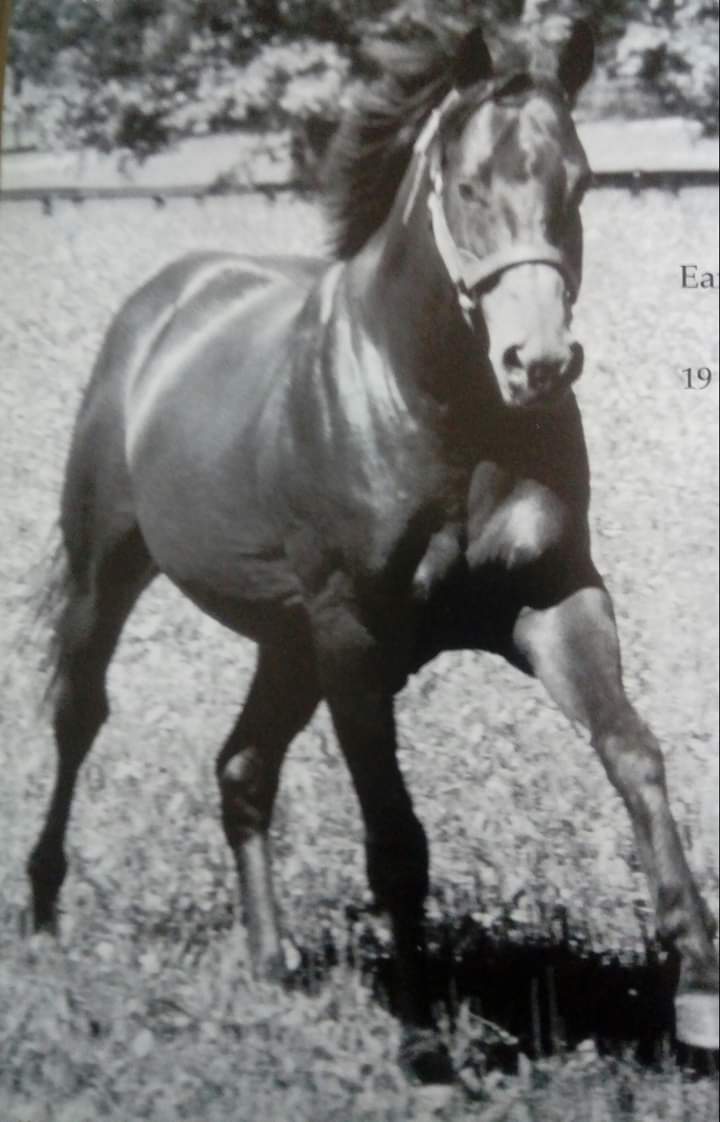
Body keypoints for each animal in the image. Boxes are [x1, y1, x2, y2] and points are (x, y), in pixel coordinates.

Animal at [28, 18, 718, 1081]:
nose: (538, 364)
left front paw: (698, 986)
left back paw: (272, 962)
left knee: (241, 768)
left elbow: (634, 756)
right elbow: (395, 838)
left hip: (286, 641)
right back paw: (45, 914)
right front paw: (424, 1044)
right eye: (466, 184)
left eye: (581, 183)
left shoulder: (555, 602)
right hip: (113, 574)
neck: (441, 409)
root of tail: (166, 301)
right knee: (79, 715)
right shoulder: (355, 635)